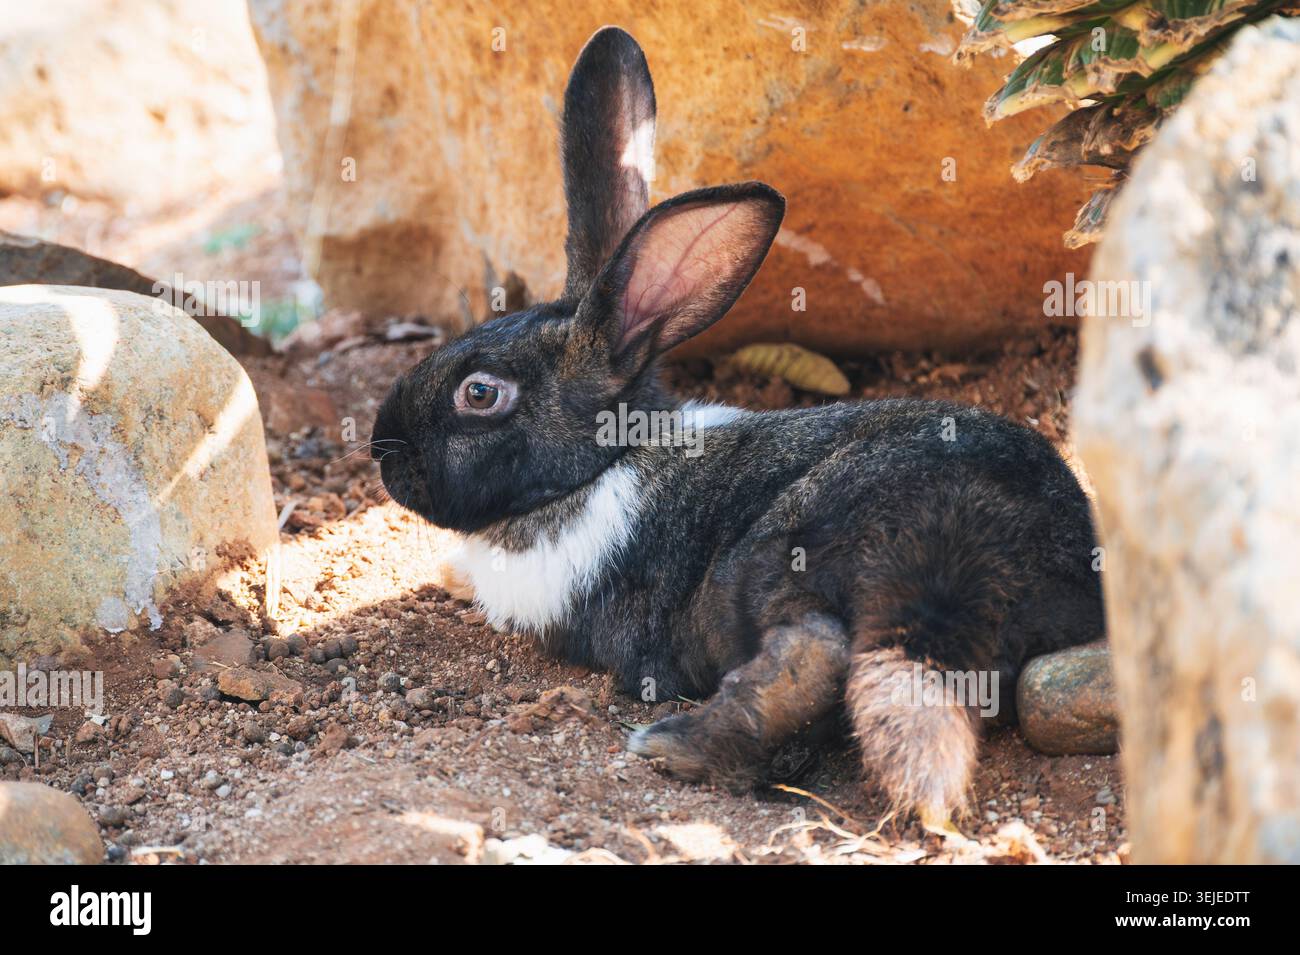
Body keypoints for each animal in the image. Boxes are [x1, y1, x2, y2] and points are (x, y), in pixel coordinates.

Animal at [371, 26, 1105, 830]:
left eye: (480, 393)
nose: (381, 451)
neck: (610, 460)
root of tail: (963, 562)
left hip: (783, 554)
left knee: (814, 653)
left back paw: (672, 745)